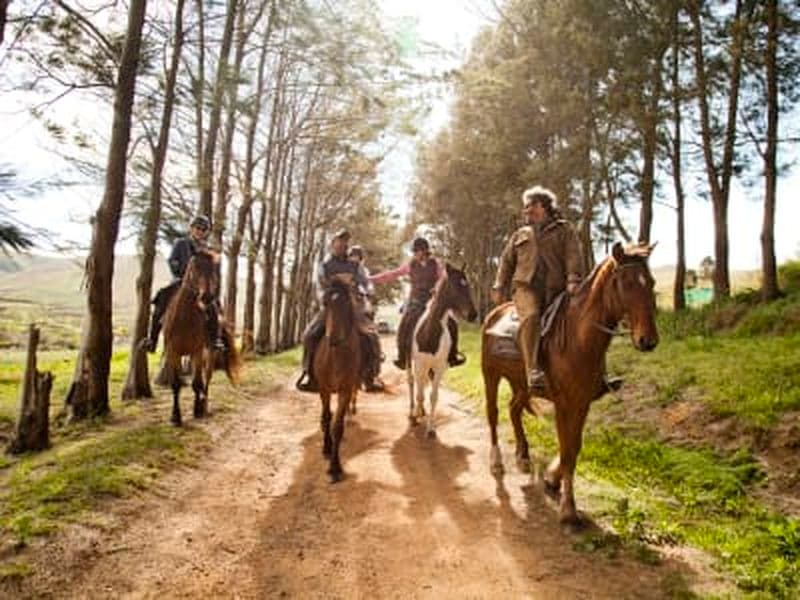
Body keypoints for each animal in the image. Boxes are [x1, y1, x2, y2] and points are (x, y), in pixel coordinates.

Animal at [162, 250, 241, 426]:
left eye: (214, 271)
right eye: (194, 267)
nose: (206, 297)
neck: (185, 319)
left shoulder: (196, 352)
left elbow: (197, 383)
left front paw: (197, 409)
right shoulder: (172, 352)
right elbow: (176, 384)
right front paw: (175, 416)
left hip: (209, 353)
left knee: (207, 378)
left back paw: (204, 404)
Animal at [408, 263, 478, 437]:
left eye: (468, 286)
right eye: (456, 286)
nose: (473, 315)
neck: (430, 334)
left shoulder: (439, 368)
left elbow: (433, 396)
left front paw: (431, 429)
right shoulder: (419, 365)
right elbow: (419, 393)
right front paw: (417, 416)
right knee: (412, 383)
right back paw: (413, 413)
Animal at [482, 242, 659, 525]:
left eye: (650, 282)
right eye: (626, 283)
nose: (648, 340)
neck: (579, 339)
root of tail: (495, 313)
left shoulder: (582, 402)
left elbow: (574, 448)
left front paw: (553, 479)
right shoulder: (564, 404)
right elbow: (567, 450)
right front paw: (567, 507)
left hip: (521, 384)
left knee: (514, 409)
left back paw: (523, 456)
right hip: (491, 375)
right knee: (493, 413)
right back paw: (497, 461)